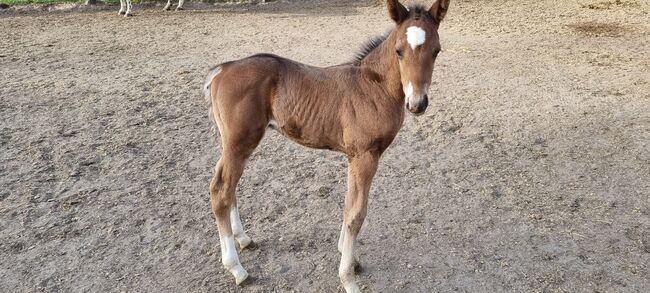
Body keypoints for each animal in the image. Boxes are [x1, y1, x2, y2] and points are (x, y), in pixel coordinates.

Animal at [205, 1, 448, 290]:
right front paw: (348, 279)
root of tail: (222, 69)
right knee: (220, 190)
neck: (374, 87)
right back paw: (237, 269)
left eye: (436, 50)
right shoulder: (365, 156)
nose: (417, 103)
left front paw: (350, 258)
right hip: (239, 142)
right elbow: (356, 214)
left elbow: (347, 205)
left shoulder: (354, 157)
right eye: (398, 50)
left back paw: (243, 239)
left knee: (229, 188)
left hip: (238, 144)